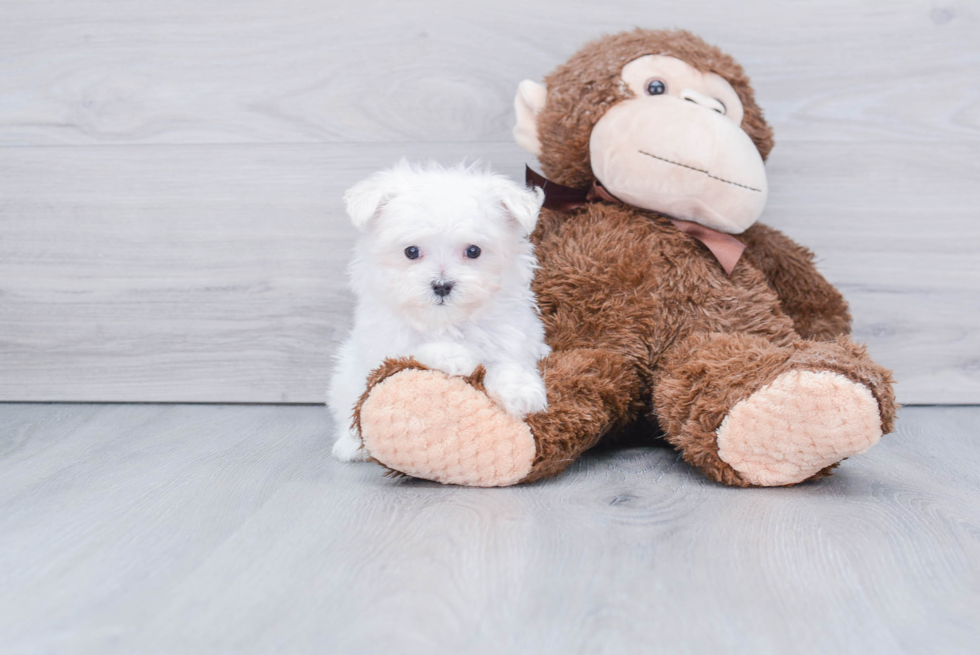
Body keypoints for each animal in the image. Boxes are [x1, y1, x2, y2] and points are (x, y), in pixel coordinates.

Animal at [330, 161, 552, 464]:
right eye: (411, 251)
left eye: (473, 251)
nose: (442, 285)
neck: (448, 322)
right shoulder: (386, 342)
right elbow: (416, 348)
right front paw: (454, 356)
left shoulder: (510, 334)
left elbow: (509, 362)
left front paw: (520, 392)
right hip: (345, 373)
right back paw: (351, 445)